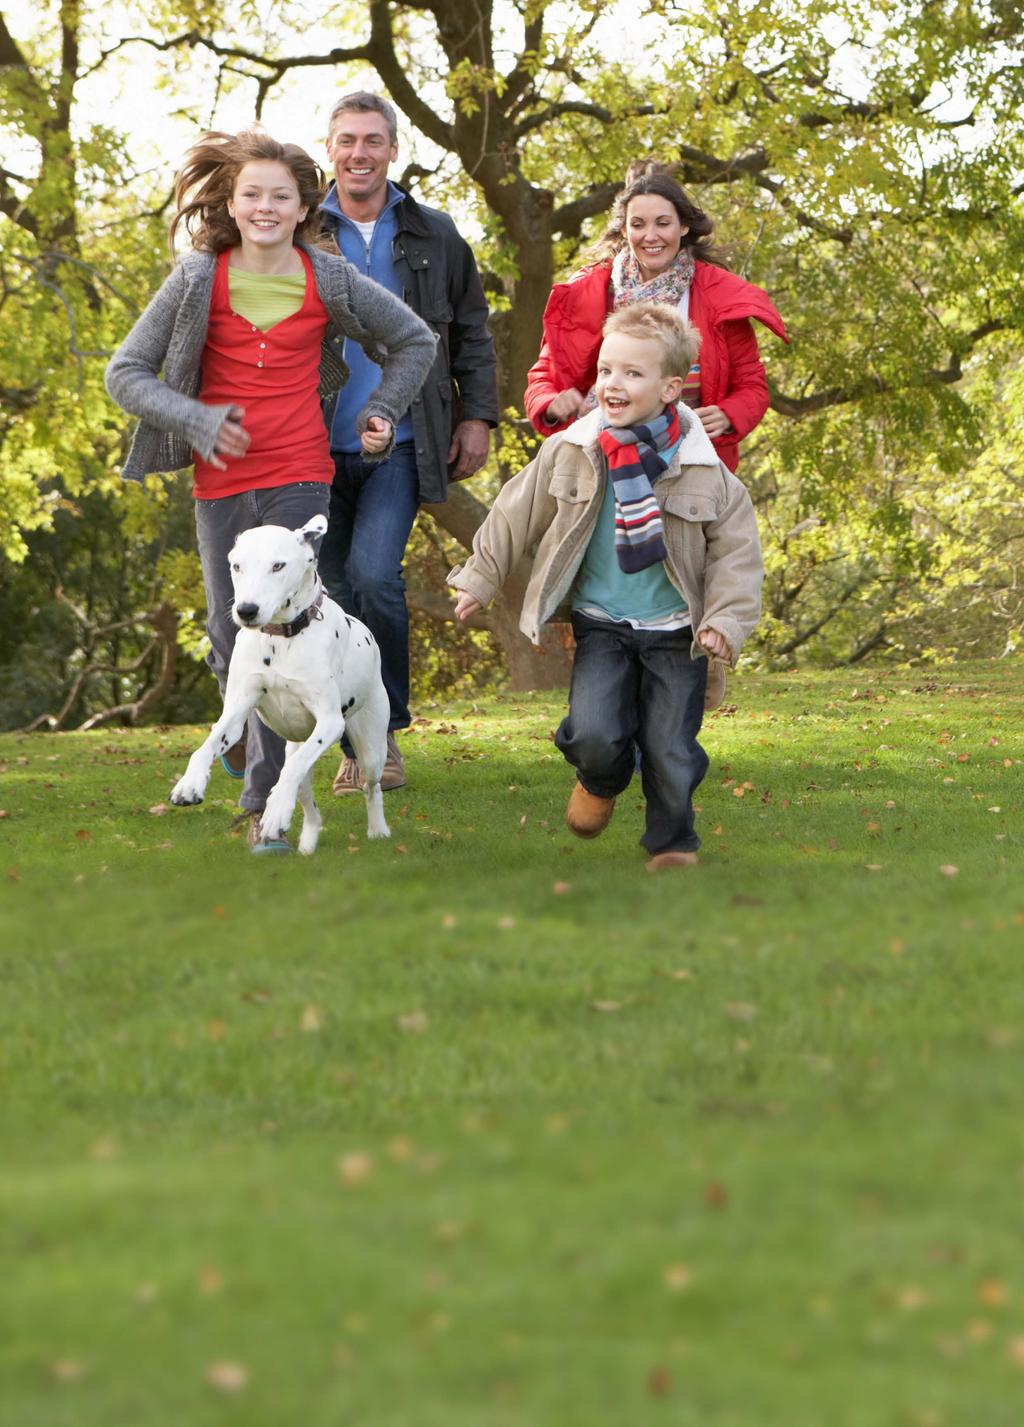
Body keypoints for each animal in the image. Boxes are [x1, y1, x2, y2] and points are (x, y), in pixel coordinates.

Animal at [172, 519, 387, 850]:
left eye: (278, 565)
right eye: (236, 565)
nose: (246, 609)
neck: (281, 637)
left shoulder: (330, 722)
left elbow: (291, 772)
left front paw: (275, 809)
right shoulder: (234, 713)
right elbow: (207, 745)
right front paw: (190, 782)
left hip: (371, 750)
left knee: (369, 786)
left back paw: (378, 829)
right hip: (300, 753)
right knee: (309, 804)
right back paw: (306, 841)